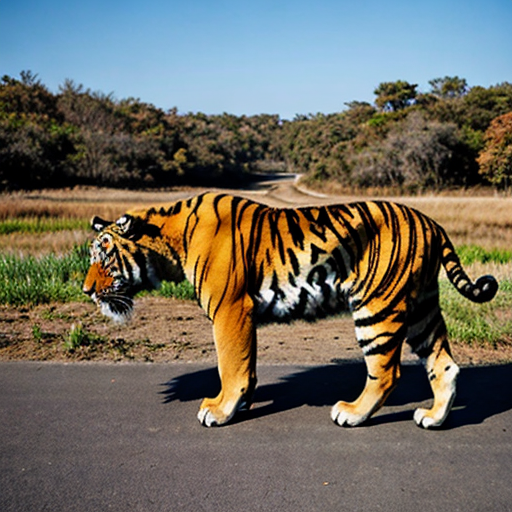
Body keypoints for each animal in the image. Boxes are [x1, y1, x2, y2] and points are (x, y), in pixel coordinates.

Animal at [83, 191, 496, 428]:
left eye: (104, 256)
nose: (86, 290)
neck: (170, 238)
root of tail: (432, 222)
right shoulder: (240, 313)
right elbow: (245, 365)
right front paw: (241, 406)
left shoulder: (230, 308)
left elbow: (230, 364)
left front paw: (219, 410)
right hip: (422, 306)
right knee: (444, 364)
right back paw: (434, 418)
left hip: (377, 306)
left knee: (386, 371)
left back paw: (351, 413)